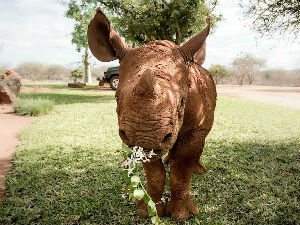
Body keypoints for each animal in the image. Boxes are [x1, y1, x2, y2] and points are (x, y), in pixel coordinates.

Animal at [88, 8, 217, 220]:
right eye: (116, 97)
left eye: (182, 101)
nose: (145, 137)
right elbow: (154, 172)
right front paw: (149, 210)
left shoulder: (195, 127)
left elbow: (181, 169)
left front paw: (180, 214)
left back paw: (198, 170)